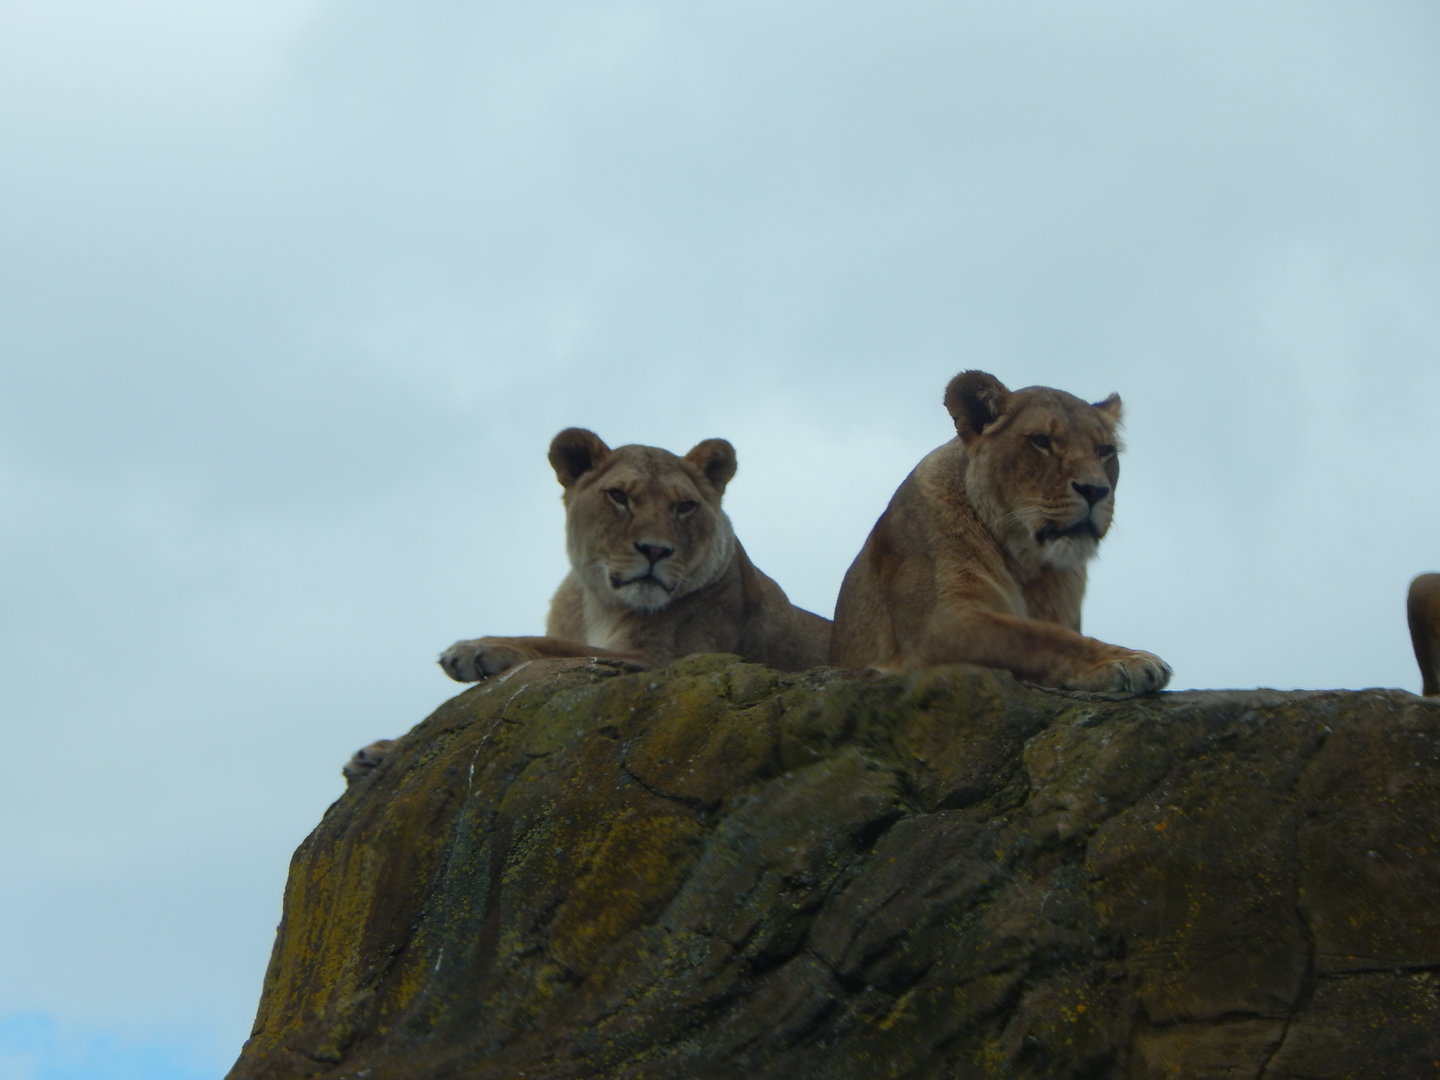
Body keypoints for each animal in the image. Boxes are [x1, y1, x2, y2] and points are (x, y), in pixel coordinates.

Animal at [829, 370, 1171, 696]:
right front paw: (1127, 660)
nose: (1095, 490)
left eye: (1105, 451)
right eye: (1041, 441)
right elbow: (1039, 636)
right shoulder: (936, 626)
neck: (1030, 569)